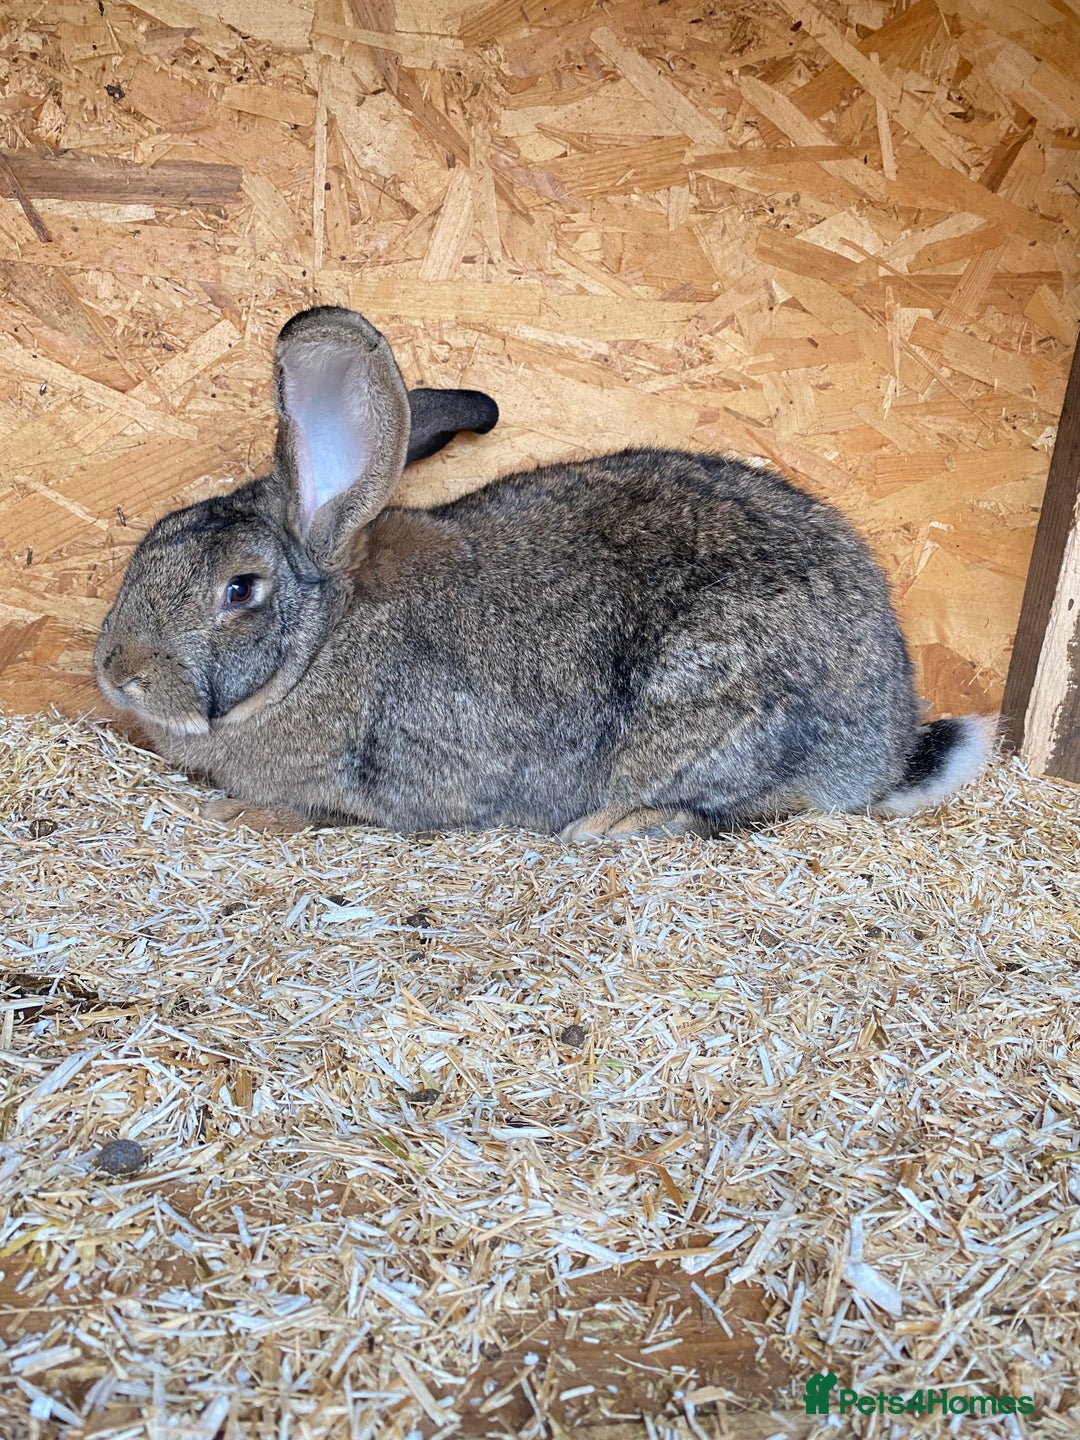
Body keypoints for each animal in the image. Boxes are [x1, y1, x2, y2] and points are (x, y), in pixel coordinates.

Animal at [95, 306, 994, 840]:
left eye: (239, 590)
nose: (114, 671)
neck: (319, 649)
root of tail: (884, 738)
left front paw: (245, 810)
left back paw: (615, 825)